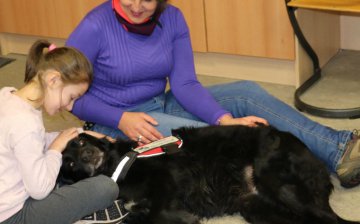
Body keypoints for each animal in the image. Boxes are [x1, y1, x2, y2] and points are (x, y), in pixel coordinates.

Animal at [58, 125, 358, 223]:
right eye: (69, 164)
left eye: (81, 141)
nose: (86, 157)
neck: (119, 165)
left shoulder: (168, 177)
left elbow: (158, 212)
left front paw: (184, 218)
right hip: (256, 207)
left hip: (279, 183)